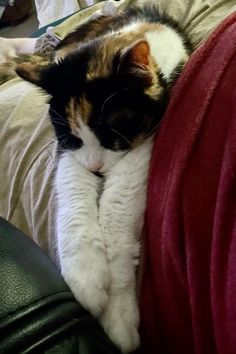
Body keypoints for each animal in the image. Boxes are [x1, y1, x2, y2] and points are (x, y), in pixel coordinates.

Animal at [0, 2, 192, 352]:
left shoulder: (143, 145)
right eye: (73, 138)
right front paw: (86, 276)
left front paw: (118, 316)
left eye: (111, 134)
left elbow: (117, 212)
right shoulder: (69, 152)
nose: (96, 169)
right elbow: (73, 192)